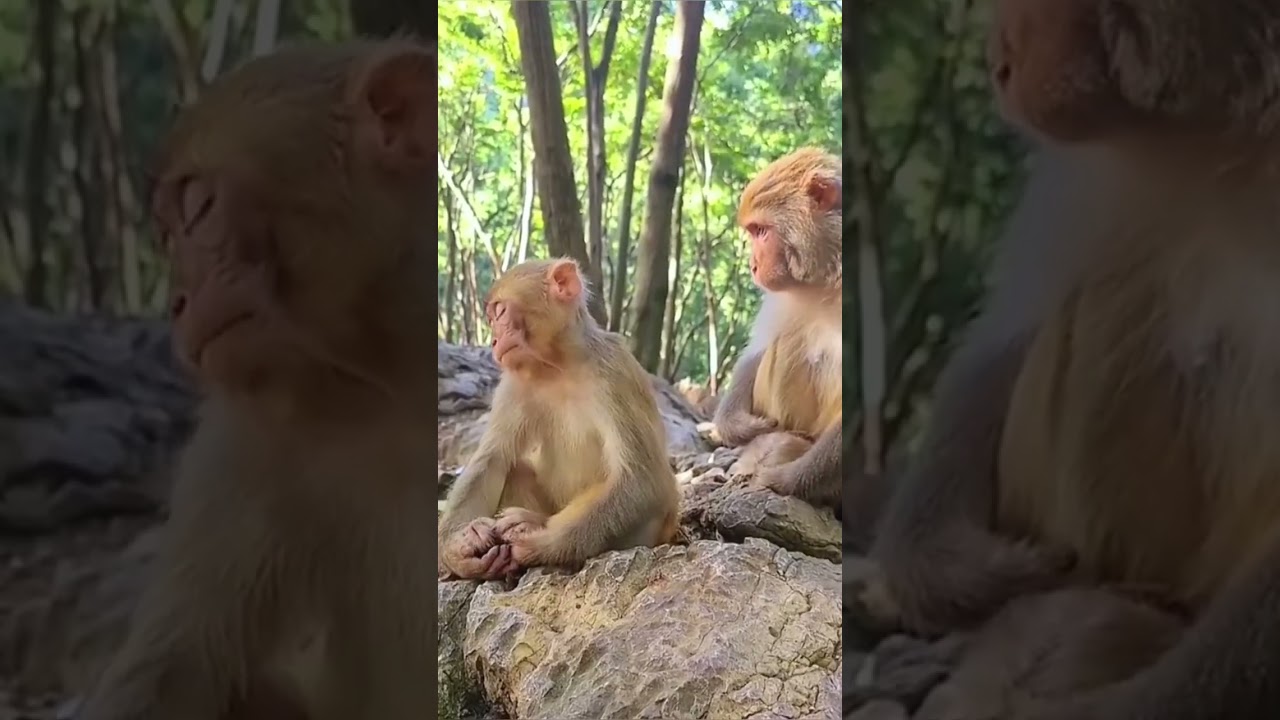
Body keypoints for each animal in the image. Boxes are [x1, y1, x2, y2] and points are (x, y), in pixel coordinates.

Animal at [75, 38, 436, 720]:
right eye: (166, 234)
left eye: (198, 206)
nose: (177, 303)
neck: (386, 377)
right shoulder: (245, 439)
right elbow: (170, 671)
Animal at [437, 257, 681, 581]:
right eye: (491, 318)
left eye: (500, 312)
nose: (494, 341)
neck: (559, 366)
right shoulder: (514, 383)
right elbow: (492, 459)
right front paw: (459, 549)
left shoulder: (616, 371)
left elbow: (642, 478)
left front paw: (538, 540)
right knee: (516, 469)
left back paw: (533, 522)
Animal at [712, 147, 842, 512]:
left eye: (761, 231)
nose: (753, 266)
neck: (826, 278)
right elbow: (759, 346)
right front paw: (738, 426)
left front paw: (786, 480)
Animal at [865, 0, 1280, 717]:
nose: (997, 54)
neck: (1222, 144)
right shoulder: (1085, 166)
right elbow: (1016, 323)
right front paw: (958, 570)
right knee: (1117, 282)